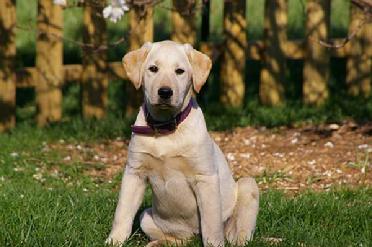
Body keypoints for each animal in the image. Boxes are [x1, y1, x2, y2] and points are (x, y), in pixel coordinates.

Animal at [104, 41, 258, 247]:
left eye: (180, 71)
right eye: (153, 69)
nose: (165, 92)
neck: (166, 127)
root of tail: (193, 235)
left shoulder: (205, 178)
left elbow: (211, 224)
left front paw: (213, 243)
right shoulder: (134, 173)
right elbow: (122, 212)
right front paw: (114, 240)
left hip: (249, 186)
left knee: (236, 234)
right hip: (146, 217)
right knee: (178, 240)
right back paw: (158, 243)